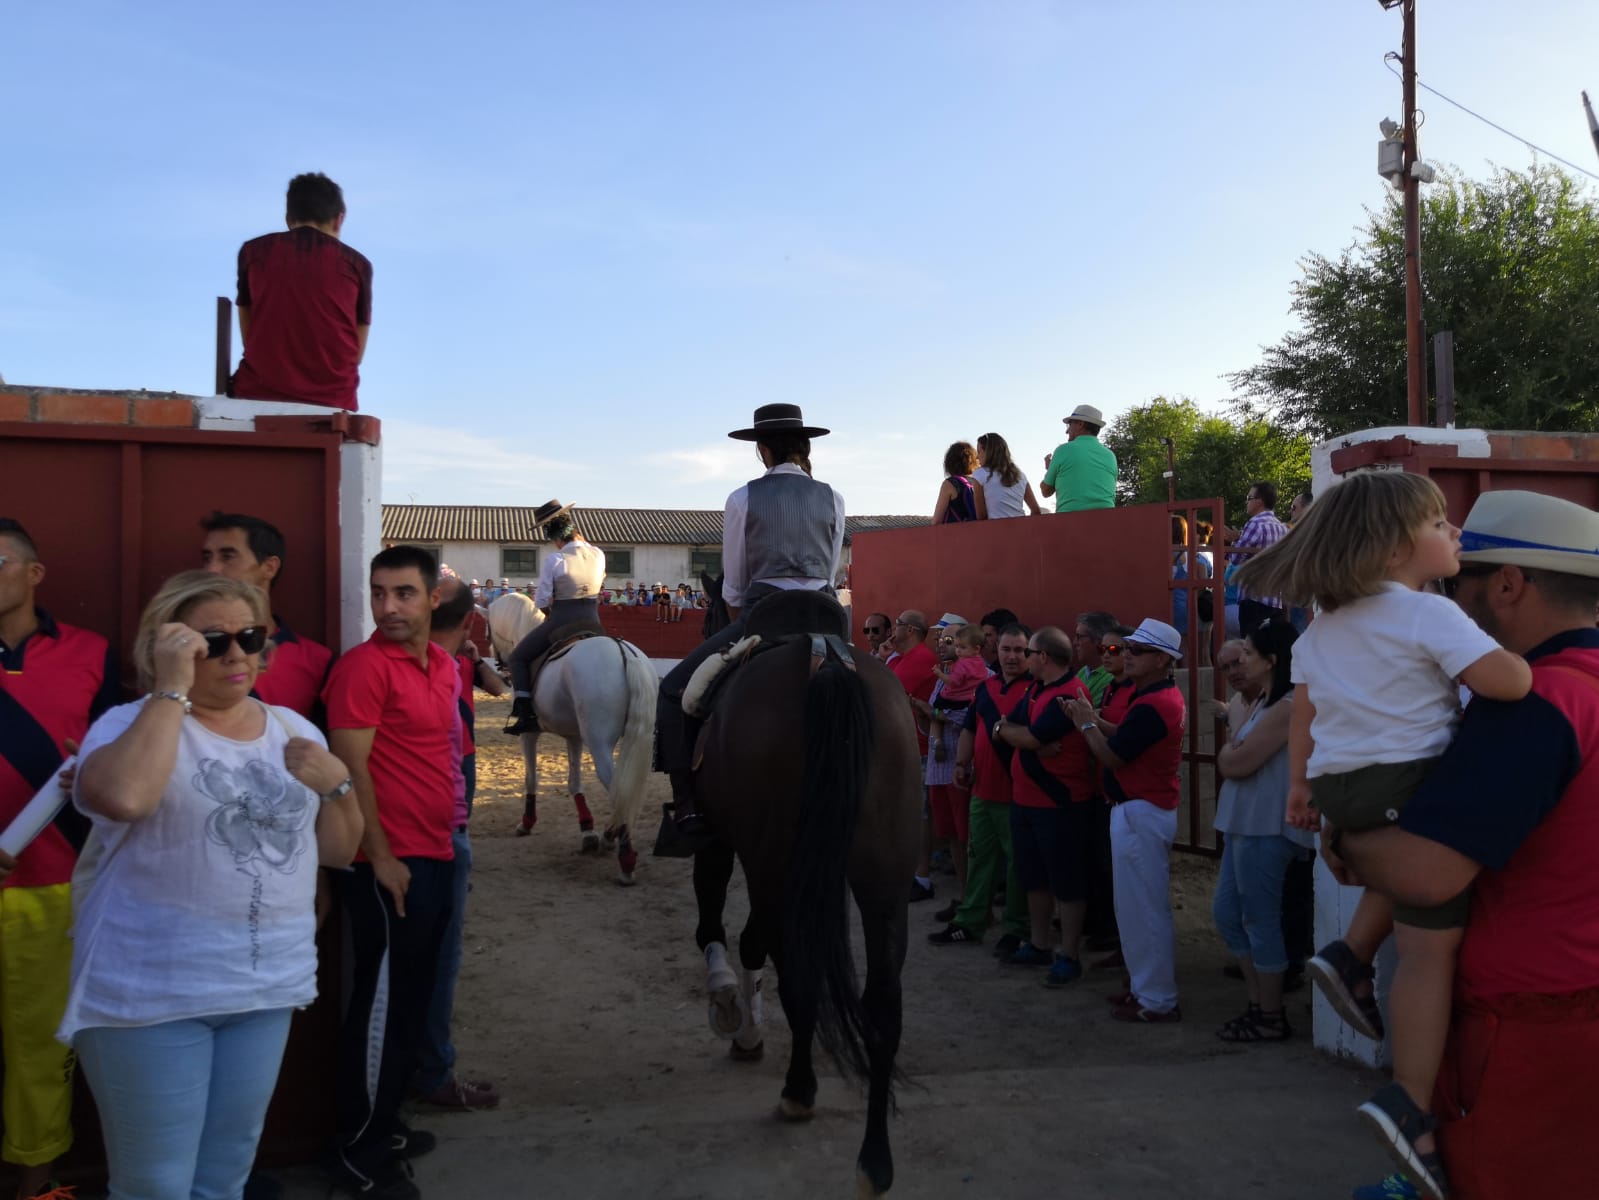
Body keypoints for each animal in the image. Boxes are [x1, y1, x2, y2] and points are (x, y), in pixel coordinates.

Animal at [489, 592, 658, 883]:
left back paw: (624, 859)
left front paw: (526, 822)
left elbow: (531, 778)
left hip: (599, 743)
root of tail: (623, 652)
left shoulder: (529, 733)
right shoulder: (574, 736)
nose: (499, 664)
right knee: (628, 787)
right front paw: (587, 830)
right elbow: (574, 782)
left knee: (618, 788)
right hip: (636, 738)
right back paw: (608, 837)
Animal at [693, 582, 921, 1196]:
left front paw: (737, 1019)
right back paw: (875, 1161)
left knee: (791, 966)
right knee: (882, 1003)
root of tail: (828, 667)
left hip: (774, 863)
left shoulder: (720, 835)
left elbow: (725, 928)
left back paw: (798, 1091)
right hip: (884, 874)